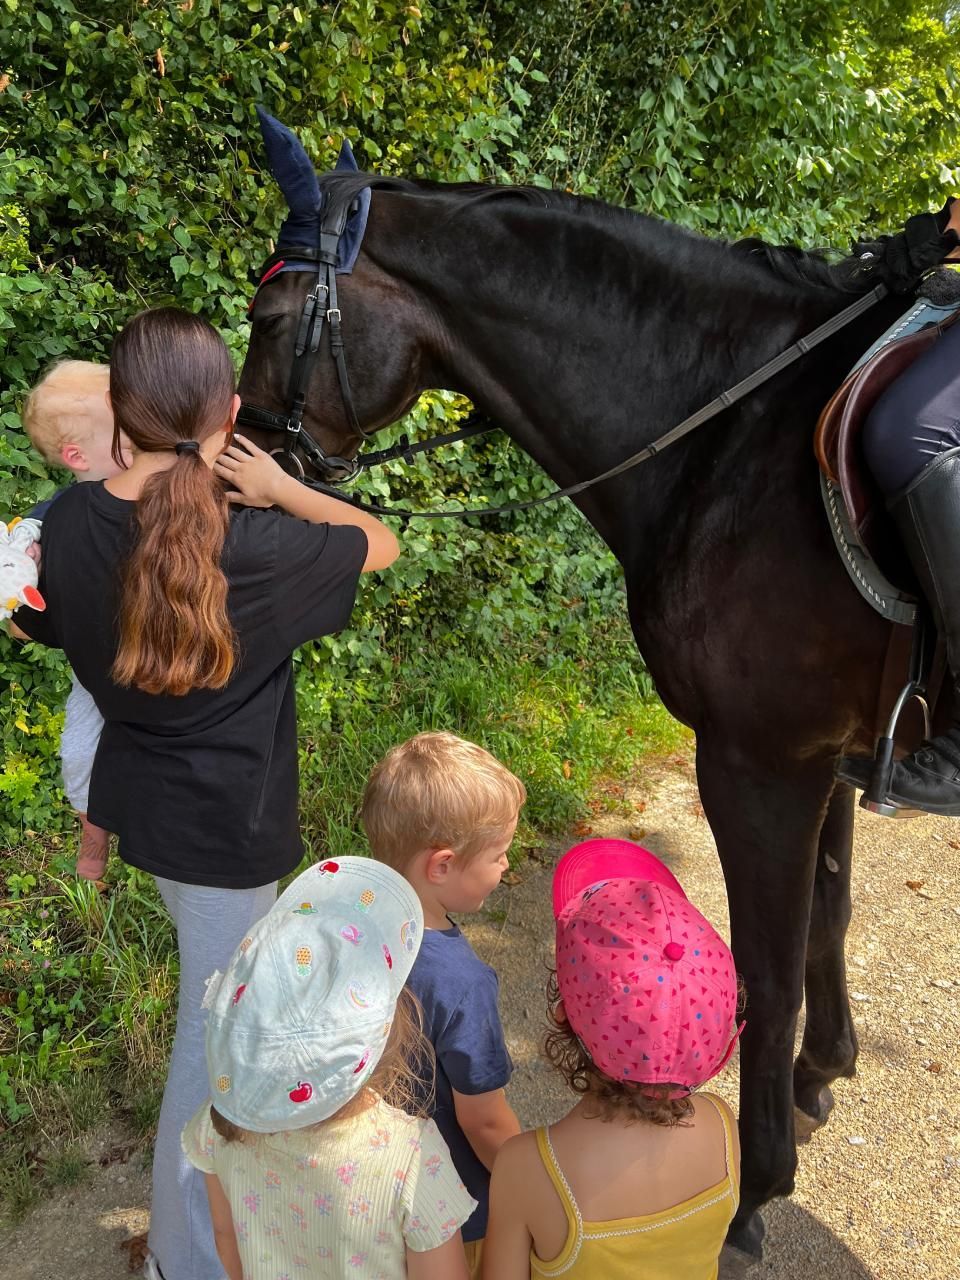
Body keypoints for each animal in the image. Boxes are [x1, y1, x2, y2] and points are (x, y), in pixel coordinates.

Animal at [235, 115, 923, 1264]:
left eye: (269, 316)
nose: (242, 465)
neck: (732, 434)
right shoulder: (825, 751)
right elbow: (829, 913)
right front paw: (825, 1073)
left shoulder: (760, 760)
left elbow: (767, 972)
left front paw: (752, 1197)